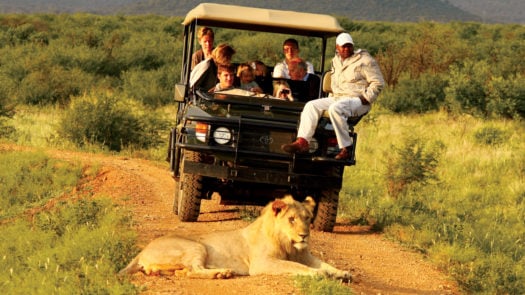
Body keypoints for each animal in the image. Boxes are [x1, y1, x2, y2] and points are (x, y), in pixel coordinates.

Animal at [118, 195, 348, 280]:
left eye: (307, 218)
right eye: (291, 219)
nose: (304, 235)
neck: (289, 245)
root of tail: (142, 250)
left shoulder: (306, 256)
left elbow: (325, 264)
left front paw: (342, 273)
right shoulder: (262, 263)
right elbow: (296, 267)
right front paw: (319, 274)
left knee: (185, 272)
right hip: (196, 247)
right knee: (194, 270)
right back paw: (222, 273)